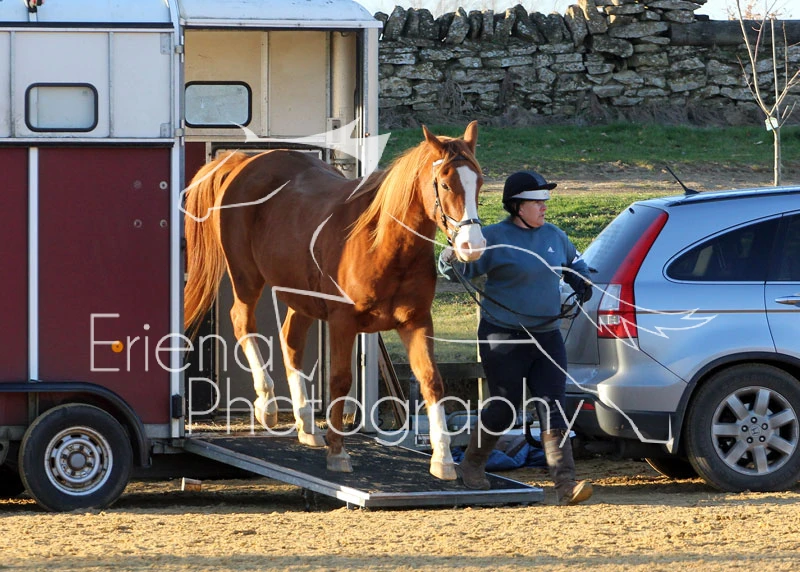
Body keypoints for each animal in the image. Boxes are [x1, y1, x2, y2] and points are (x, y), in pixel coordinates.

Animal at [183, 122, 486, 480]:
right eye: (445, 183)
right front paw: (338, 453)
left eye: (478, 181)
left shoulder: (417, 322)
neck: (384, 244)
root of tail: (245, 162)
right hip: (246, 276)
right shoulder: (343, 322)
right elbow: (340, 380)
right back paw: (267, 405)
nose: (472, 246)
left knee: (291, 341)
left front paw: (443, 459)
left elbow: (432, 382)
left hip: (300, 296)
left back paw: (306, 424)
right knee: (243, 323)